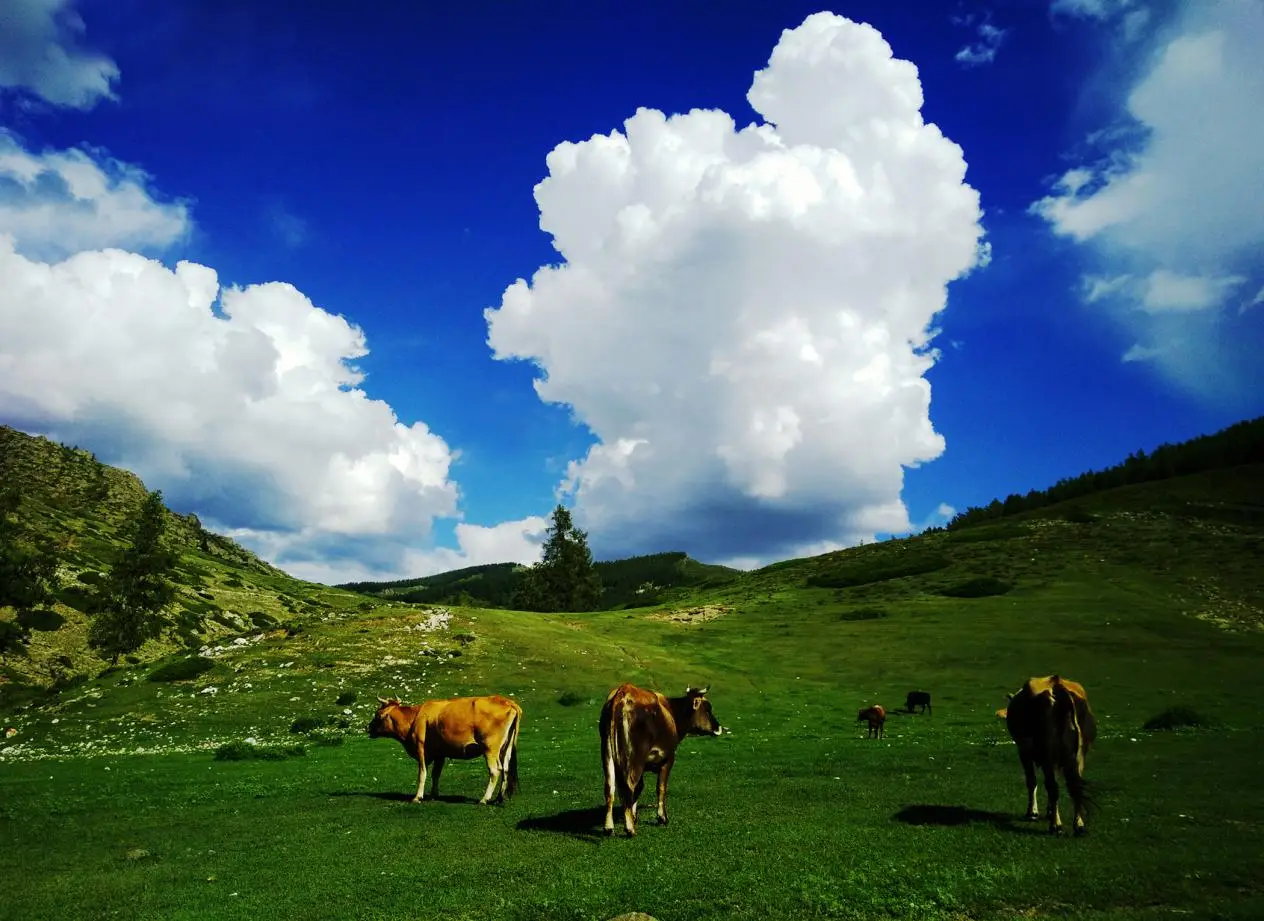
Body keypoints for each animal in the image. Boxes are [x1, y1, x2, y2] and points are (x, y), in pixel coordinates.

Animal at [369, 692, 520, 803]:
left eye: (376, 715)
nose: (367, 727)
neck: (414, 718)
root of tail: (508, 702)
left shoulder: (421, 749)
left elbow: (422, 774)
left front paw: (418, 797)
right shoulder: (440, 754)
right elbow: (436, 774)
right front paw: (433, 795)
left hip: (490, 749)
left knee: (495, 770)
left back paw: (484, 799)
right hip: (505, 748)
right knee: (506, 769)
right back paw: (499, 798)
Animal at [599, 677, 723, 838]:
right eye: (708, 709)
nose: (719, 727)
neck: (672, 713)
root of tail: (623, 691)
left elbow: (640, 787)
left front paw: (634, 815)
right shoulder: (668, 759)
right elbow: (661, 787)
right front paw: (662, 817)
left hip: (607, 752)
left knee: (610, 787)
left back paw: (609, 827)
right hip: (635, 758)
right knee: (628, 786)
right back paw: (630, 829)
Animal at [1001, 677, 1092, 833]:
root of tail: (1057, 685)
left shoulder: (1023, 751)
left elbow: (1032, 781)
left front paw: (1032, 812)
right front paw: (1049, 811)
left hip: (1047, 752)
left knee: (1053, 787)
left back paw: (1056, 825)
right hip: (1079, 755)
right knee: (1075, 786)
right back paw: (1079, 824)